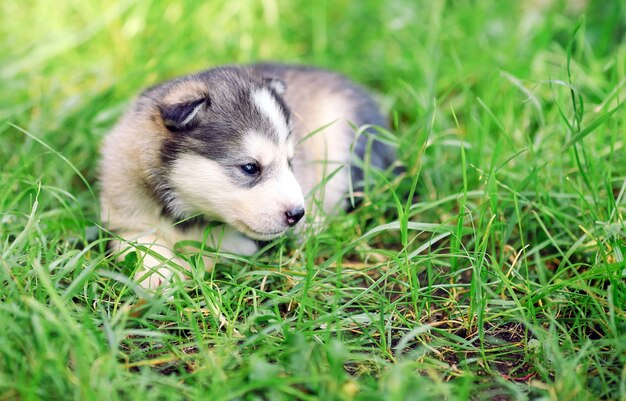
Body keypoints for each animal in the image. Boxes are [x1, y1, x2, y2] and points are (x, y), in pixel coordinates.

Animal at [100, 63, 398, 288]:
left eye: (290, 162)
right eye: (250, 167)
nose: (297, 214)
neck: (182, 212)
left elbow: (210, 250)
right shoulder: (124, 211)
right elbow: (136, 241)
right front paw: (158, 272)